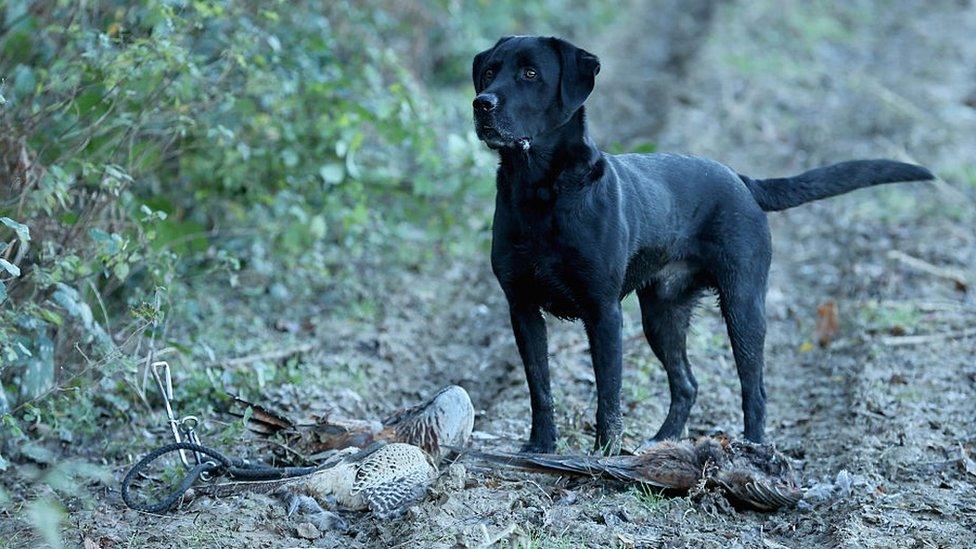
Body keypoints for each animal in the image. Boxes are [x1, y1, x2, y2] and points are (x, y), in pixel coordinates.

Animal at [476, 35, 936, 454]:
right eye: (490, 71)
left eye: (530, 73)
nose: (482, 103)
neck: (541, 190)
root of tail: (742, 181)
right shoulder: (522, 308)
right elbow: (539, 386)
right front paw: (540, 447)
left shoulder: (603, 311)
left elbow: (608, 392)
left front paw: (603, 455)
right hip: (662, 313)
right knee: (687, 384)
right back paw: (660, 442)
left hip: (743, 304)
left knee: (754, 387)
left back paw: (753, 451)